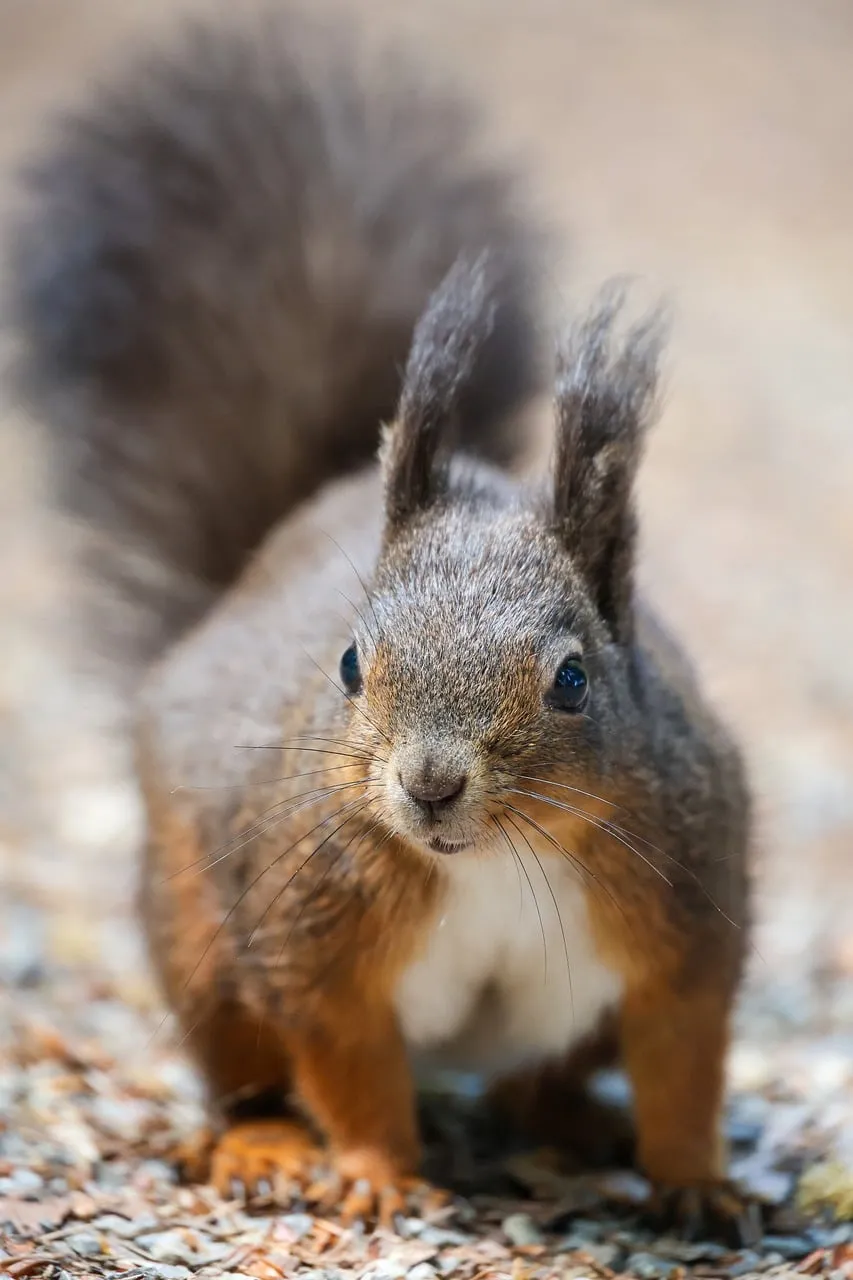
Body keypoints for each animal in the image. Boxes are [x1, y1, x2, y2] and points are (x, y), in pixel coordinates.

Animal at [9, 3, 754, 1241]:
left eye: (573, 678)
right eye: (352, 662)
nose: (429, 783)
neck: (500, 855)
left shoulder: (687, 906)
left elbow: (685, 1054)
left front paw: (696, 1175)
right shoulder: (315, 927)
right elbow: (344, 1054)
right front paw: (368, 1169)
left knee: (535, 1083)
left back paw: (583, 1124)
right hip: (198, 931)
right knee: (248, 1063)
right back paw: (263, 1142)